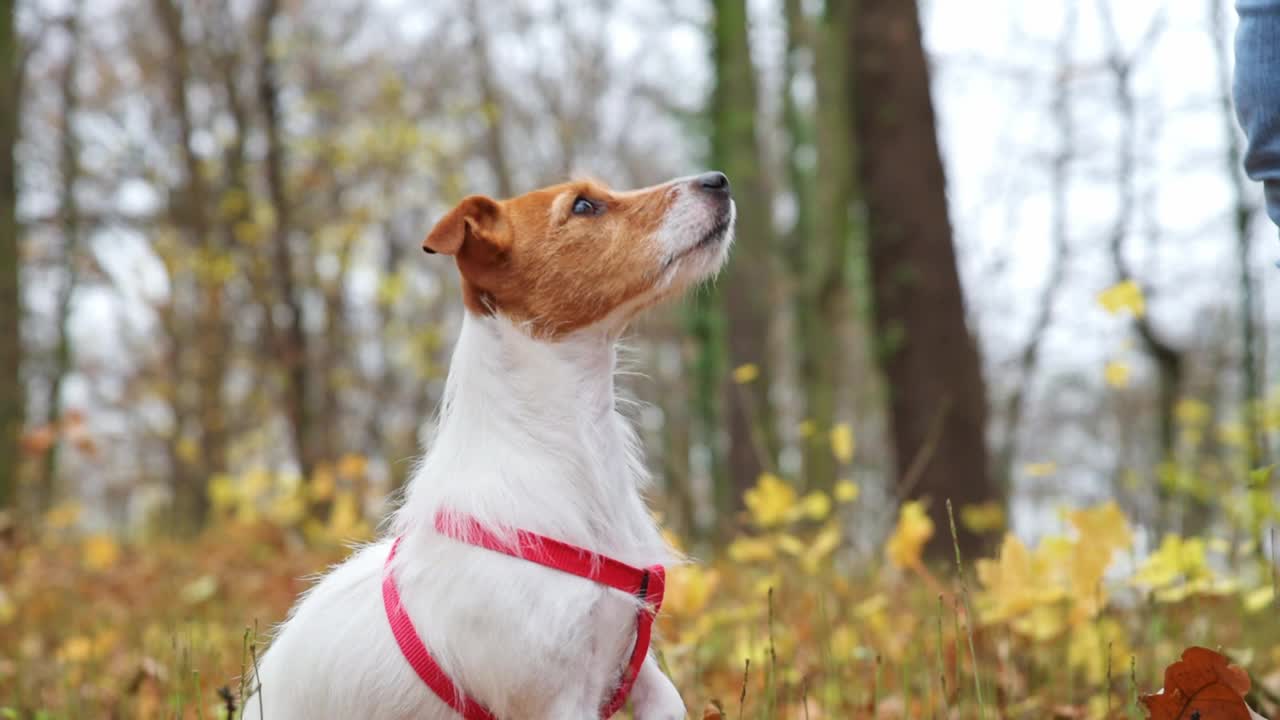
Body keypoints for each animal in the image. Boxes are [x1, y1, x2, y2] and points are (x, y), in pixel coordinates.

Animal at [243, 170, 737, 712]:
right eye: (583, 206)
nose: (718, 179)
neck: (568, 442)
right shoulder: (556, 701)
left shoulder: (637, 660)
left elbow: (670, 697)